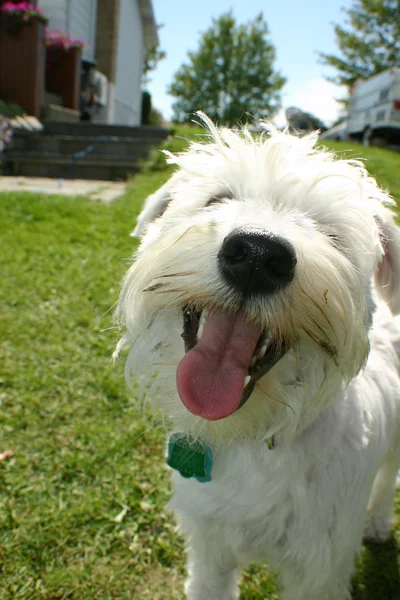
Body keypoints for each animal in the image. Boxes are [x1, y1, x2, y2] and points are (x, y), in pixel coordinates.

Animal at [114, 113, 400, 600]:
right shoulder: (210, 546)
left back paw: (378, 521)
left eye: (330, 232)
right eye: (218, 199)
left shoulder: (319, 569)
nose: (258, 254)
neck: (256, 436)